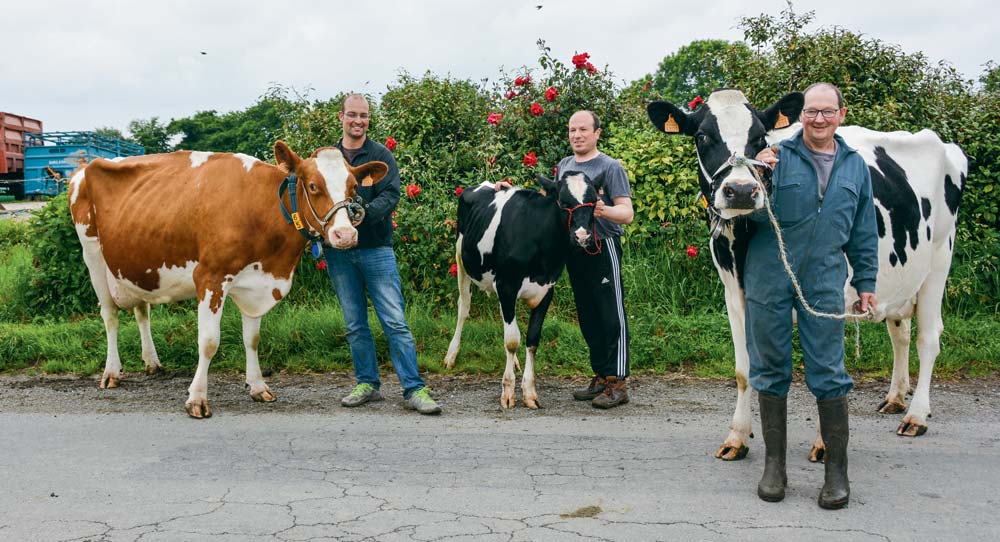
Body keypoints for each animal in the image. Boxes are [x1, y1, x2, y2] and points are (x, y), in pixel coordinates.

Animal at [68, 142, 388, 418]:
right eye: (313, 186)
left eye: (353, 188)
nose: (345, 235)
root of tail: (86, 166)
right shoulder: (210, 278)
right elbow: (209, 342)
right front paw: (197, 399)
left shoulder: (258, 283)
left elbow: (253, 339)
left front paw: (258, 387)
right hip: (92, 254)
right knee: (110, 316)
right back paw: (111, 372)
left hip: (135, 263)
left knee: (141, 310)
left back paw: (152, 362)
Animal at [444, 173, 600, 408]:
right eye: (563, 202)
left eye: (594, 202)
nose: (582, 236)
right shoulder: (507, 284)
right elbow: (511, 341)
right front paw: (508, 391)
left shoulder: (545, 290)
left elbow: (531, 339)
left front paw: (529, 392)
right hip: (461, 260)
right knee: (464, 308)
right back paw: (451, 355)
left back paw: (515, 362)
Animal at [644, 89, 964, 464]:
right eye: (702, 137)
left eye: (760, 138)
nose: (741, 190)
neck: (744, 241)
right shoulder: (734, 293)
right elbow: (743, 370)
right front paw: (737, 436)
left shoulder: (833, 297)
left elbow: (825, 369)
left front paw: (826, 443)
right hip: (900, 277)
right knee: (900, 331)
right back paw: (896, 398)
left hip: (939, 260)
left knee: (928, 338)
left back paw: (916, 415)